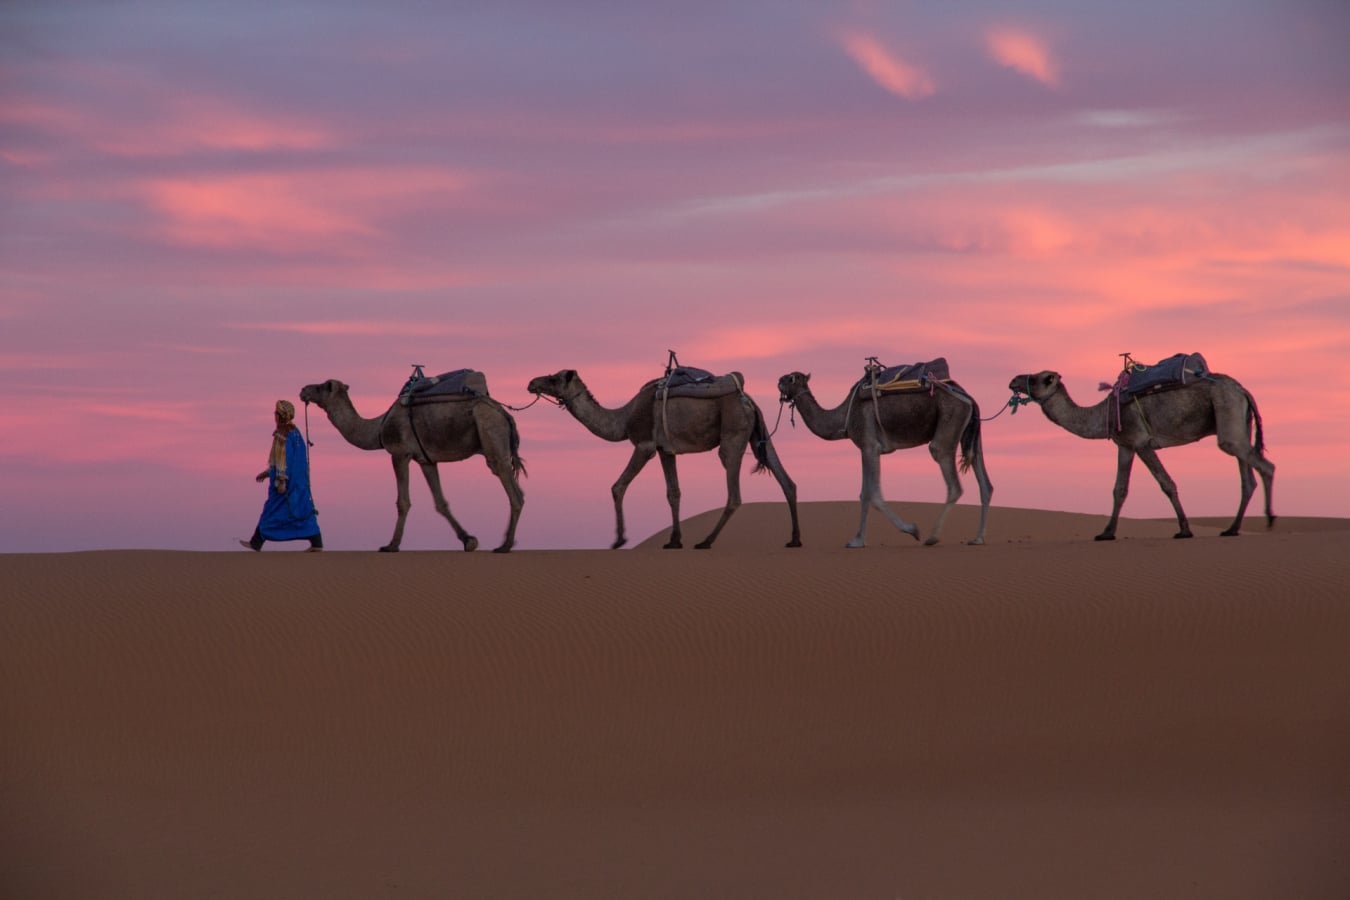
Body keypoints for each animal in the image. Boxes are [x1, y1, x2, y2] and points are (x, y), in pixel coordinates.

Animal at [298, 379, 525, 552]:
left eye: (321, 386)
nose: (303, 390)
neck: (378, 427)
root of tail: (505, 414)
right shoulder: (426, 460)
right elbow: (440, 502)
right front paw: (468, 540)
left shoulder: (399, 453)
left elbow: (403, 501)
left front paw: (391, 545)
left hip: (491, 434)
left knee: (514, 491)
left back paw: (504, 546)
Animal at [526, 369, 801, 549]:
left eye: (553, 378)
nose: (531, 383)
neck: (623, 418)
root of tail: (748, 400)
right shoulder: (665, 450)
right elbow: (673, 492)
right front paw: (674, 540)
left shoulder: (645, 445)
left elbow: (618, 486)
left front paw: (619, 539)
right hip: (756, 434)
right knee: (786, 480)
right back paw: (795, 539)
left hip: (733, 433)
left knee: (734, 491)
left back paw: (706, 541)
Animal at [777, 370, 993, 547]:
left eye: (791, 378)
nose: (779, 380)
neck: (845, 416)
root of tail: (969, 398)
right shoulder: (866, 448)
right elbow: (865, 493)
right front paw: (858, 539)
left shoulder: (870, 446)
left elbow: (872, 494)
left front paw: (911, 530)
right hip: (971, 434)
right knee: (985, 482)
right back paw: (978, 538)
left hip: (949, 423)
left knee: (951, 478)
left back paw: (932, 537)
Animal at [1008, 369, 1275, 540]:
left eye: (1041, 378)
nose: (1013, 381)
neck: (1103, 414)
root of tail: (1243, 390)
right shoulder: (1125, 445)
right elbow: (1119, 489)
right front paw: (1106, 533)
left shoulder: (1141, 441)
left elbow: (1167, 483)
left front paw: (1184, 530)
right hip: (1239, 423)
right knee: (1247, 478)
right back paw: (1232, 529)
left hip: (1228, 414)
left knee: (1265, 466)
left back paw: (1270, 520)